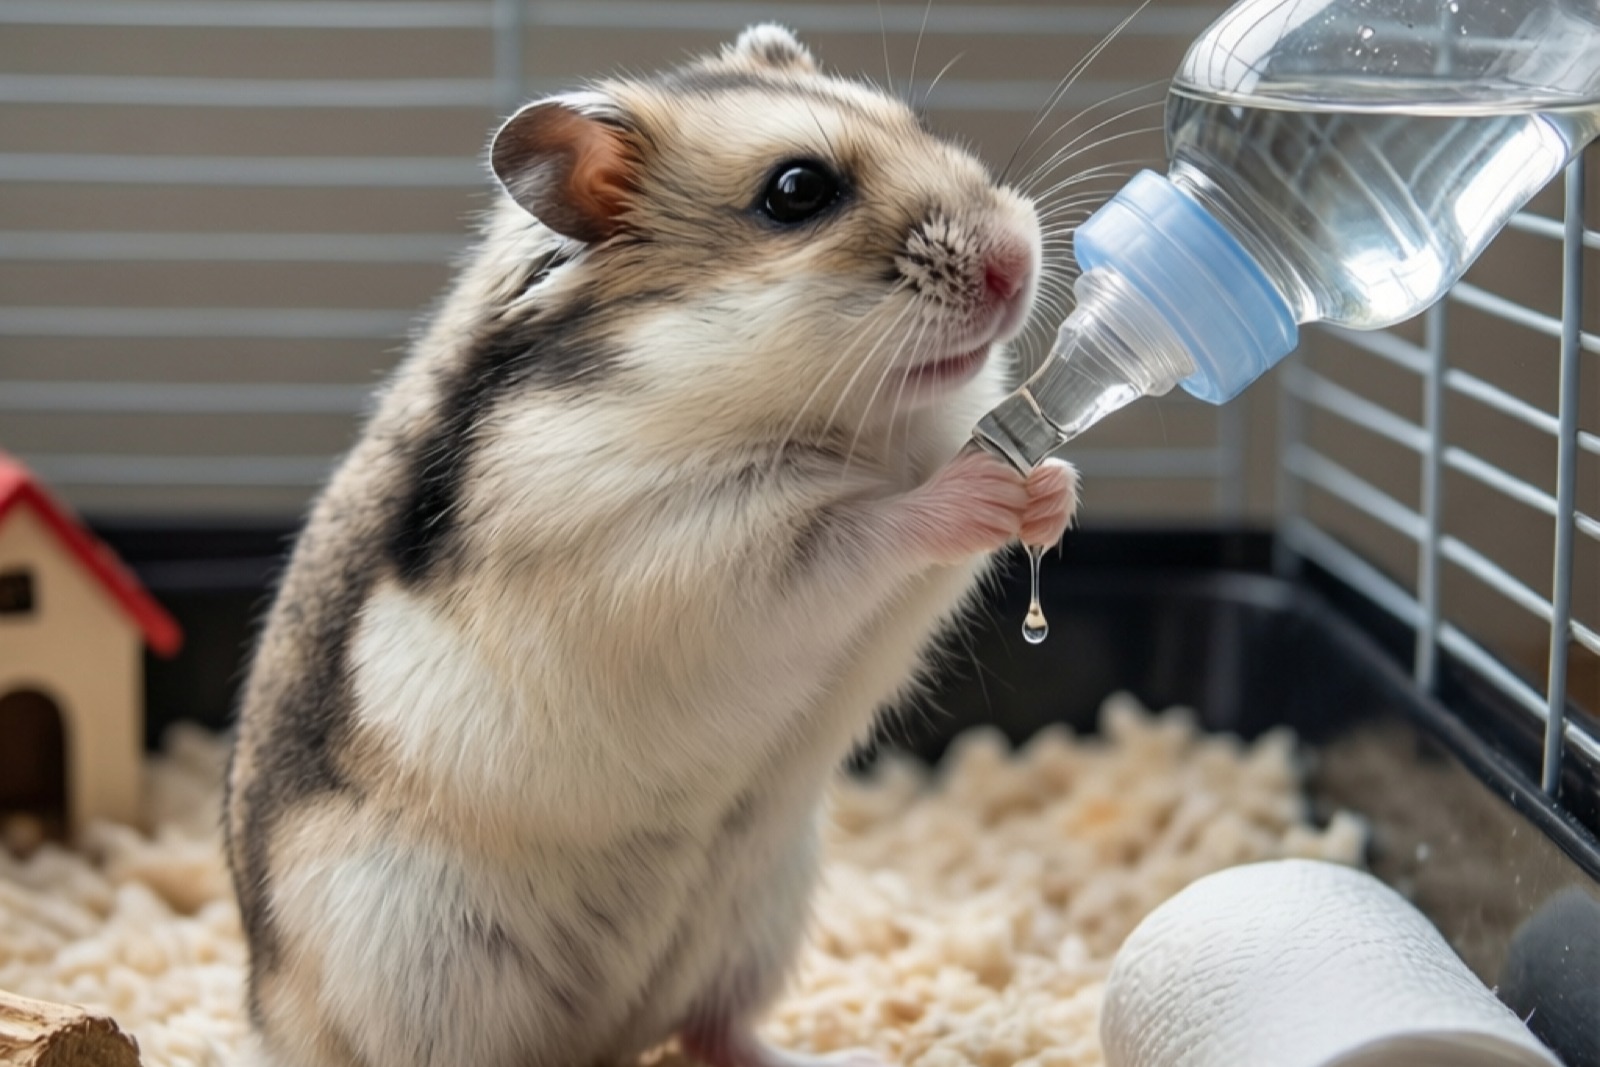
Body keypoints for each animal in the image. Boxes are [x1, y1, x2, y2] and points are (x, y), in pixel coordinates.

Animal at [225, 24, 1075, 1067]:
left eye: (915, 122)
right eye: (797, 191)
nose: (1018, 261)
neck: (858, 422)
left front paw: (1052, 487)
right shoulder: (688, 552)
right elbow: (866, 525)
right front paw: (985, 485)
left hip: (756, 912)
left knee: (713, 1028)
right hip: (419, 958)